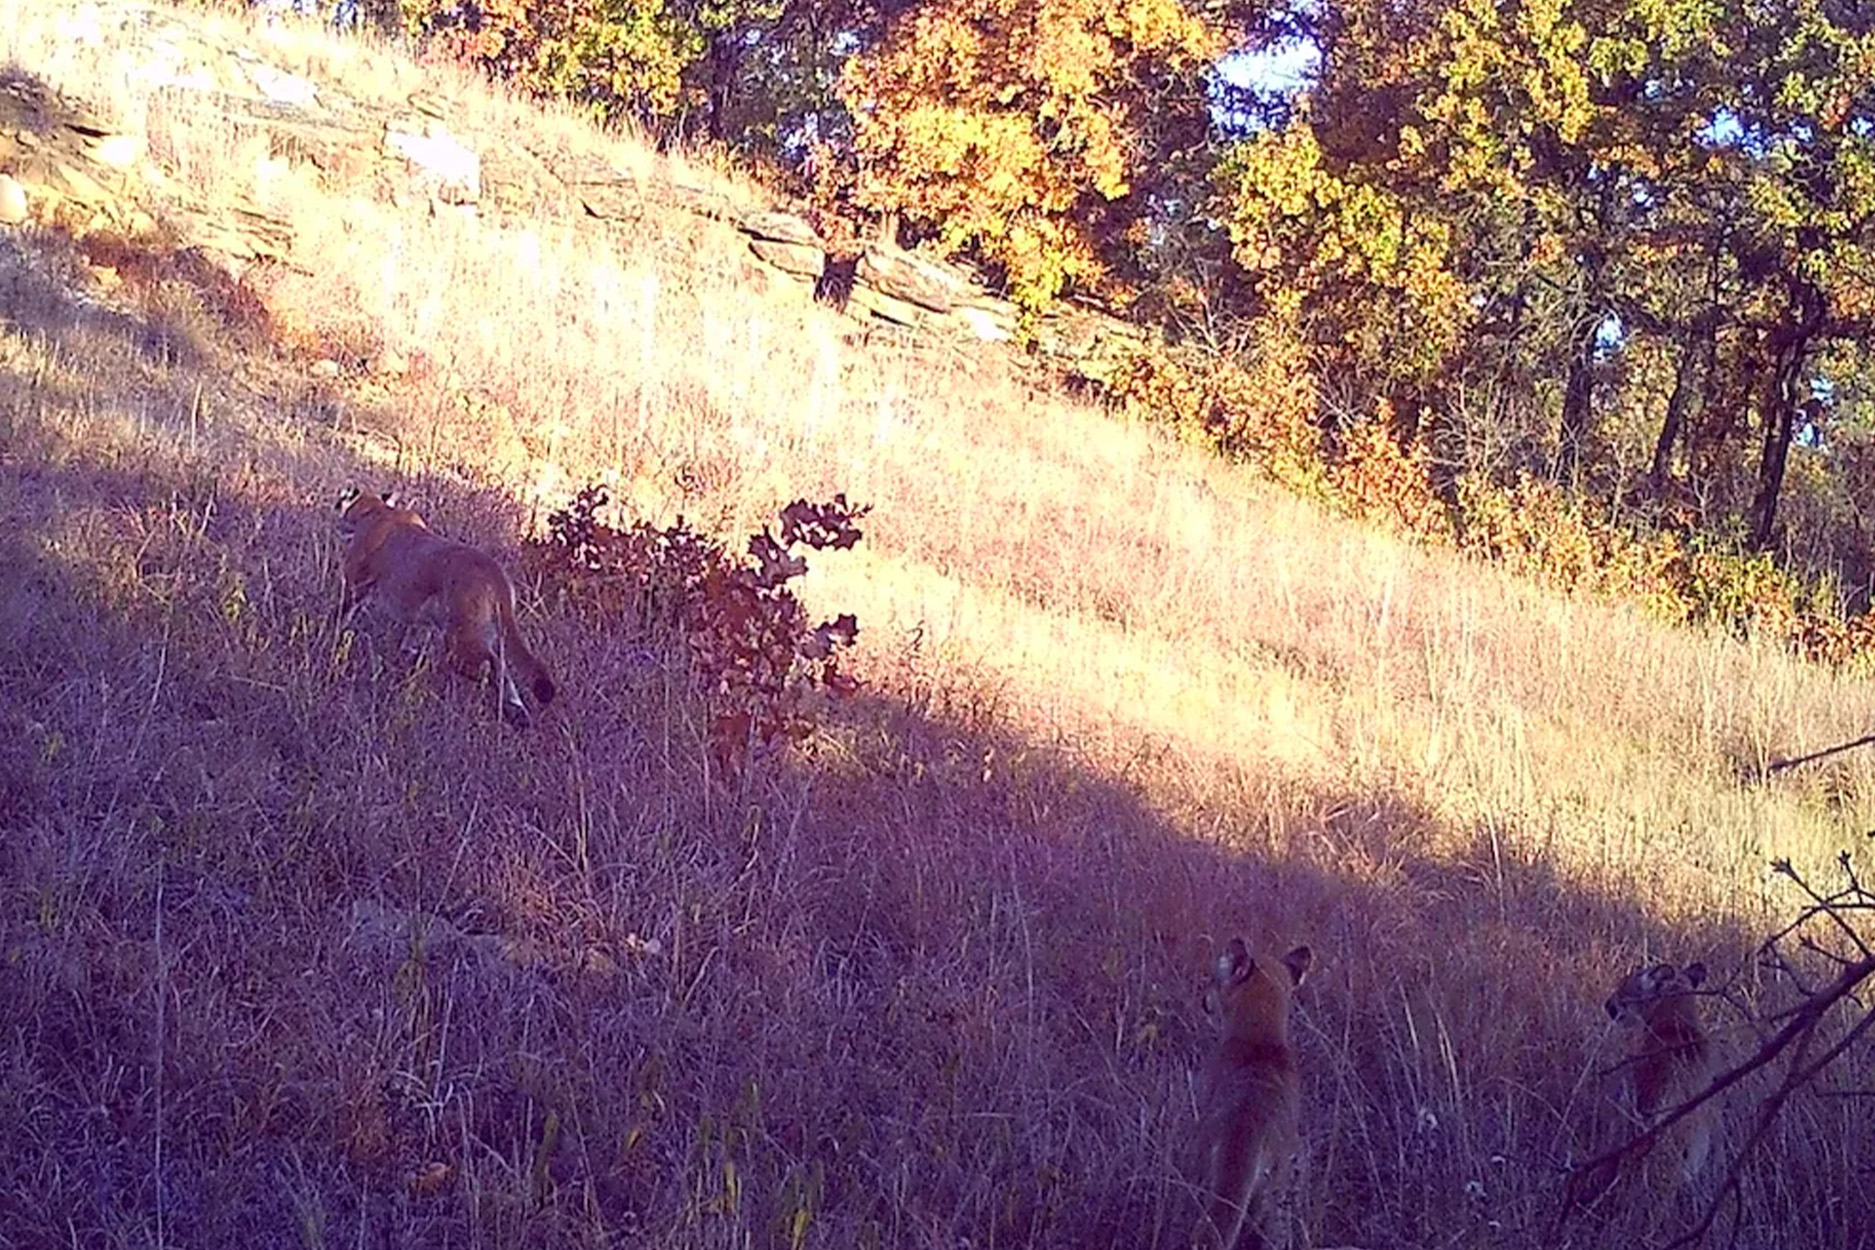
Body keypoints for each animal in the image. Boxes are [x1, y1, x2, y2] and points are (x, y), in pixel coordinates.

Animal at [336, 488, 556, 726]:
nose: (339, 523)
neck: (379, 510)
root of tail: (494, 570)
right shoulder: (417, 612)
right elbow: (410, 634)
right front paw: (406, 654)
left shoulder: (356, 581)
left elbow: (344, 610)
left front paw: (336, 633)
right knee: (502, 665)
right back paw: (517, 713)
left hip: (459, 639)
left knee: (493, 665)